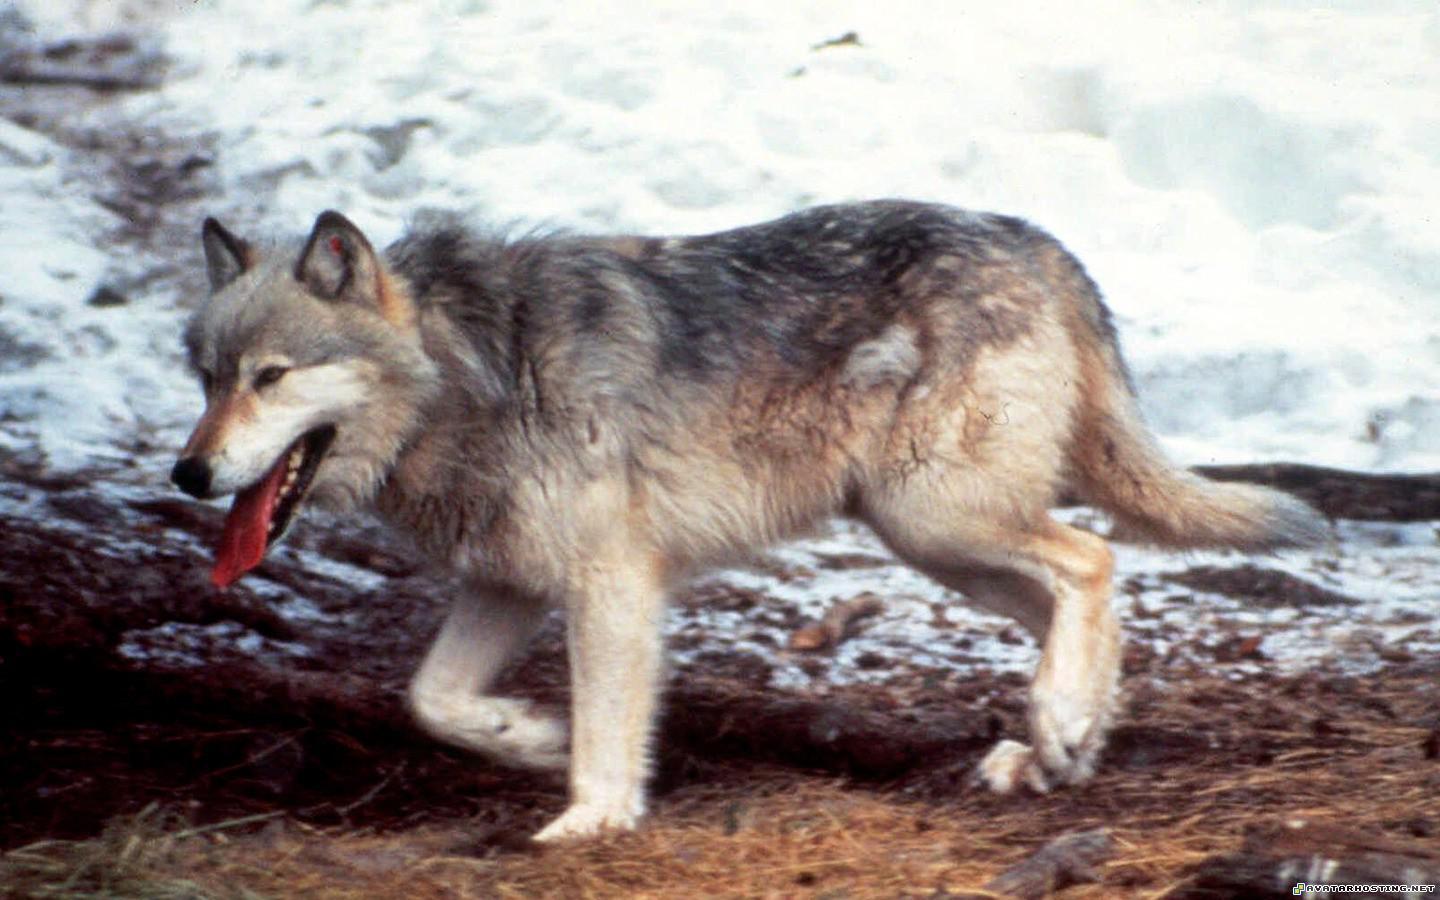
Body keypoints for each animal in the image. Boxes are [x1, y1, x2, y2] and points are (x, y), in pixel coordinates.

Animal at [172, 200, 1326, 841]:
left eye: (272, 378)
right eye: (207, 377)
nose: (188, 472)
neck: (473, 373)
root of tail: (1037, 240)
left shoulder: (612, 583)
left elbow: (607, 728)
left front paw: (591, 819)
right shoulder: (507, 581)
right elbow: (432, 701)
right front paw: (532, 739)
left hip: (934, 516)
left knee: (1092, 560)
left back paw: (1060, 727)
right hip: (931, 537)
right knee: (1075, 596)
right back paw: (1052, 747)